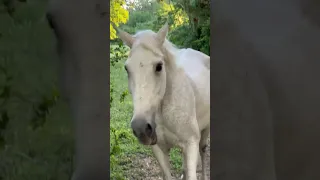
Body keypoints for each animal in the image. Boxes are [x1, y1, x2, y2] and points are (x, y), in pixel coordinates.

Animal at [115, 23, 210, 179]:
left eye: (159, 66)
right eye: (127, 68)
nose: (141, 128)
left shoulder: (191, 145)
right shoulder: (159, 149)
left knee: (202, 151)